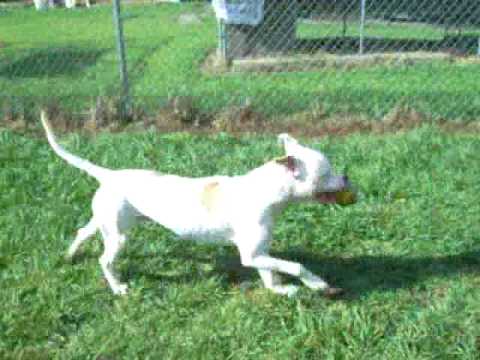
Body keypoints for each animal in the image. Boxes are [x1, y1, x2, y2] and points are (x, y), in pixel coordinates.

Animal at [40, 112, 352, 298]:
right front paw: (317, 284)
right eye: (326, 173)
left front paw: (282, 290)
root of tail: (109, 174)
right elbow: (296, 266)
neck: (267, 192)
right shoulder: (251, 255)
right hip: (119, 236)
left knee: (82, 232)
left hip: (105, 222)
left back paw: (69, 256)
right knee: (104, 260)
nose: (347, 176)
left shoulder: (259, 253)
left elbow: (271, 275)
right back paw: (118, 287)